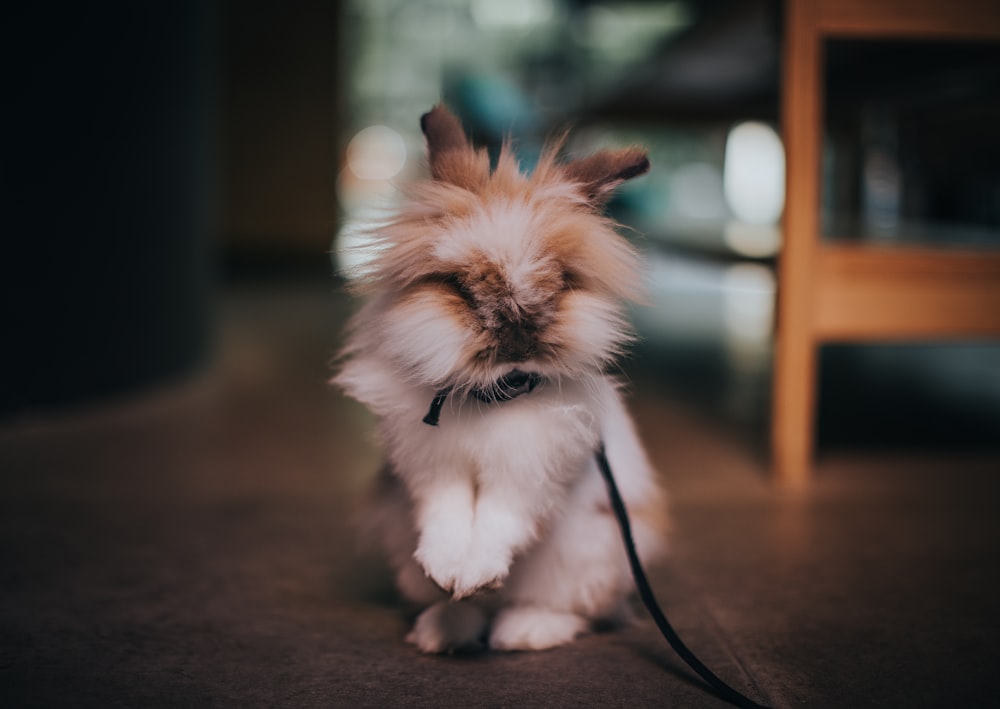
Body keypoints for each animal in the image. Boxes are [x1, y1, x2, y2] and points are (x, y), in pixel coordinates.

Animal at [332, 105, 668, 652]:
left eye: (560, 282)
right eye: (458, 286)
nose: (517, 336)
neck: (493, 394)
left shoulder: (532, 471)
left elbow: (498, 519)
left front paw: (477, 574)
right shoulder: (430, 468)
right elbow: (446, 516)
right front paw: (450, 574)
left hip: (592, 556)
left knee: (566, 608)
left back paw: (524, 631)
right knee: (470, 609)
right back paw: (443, 629)